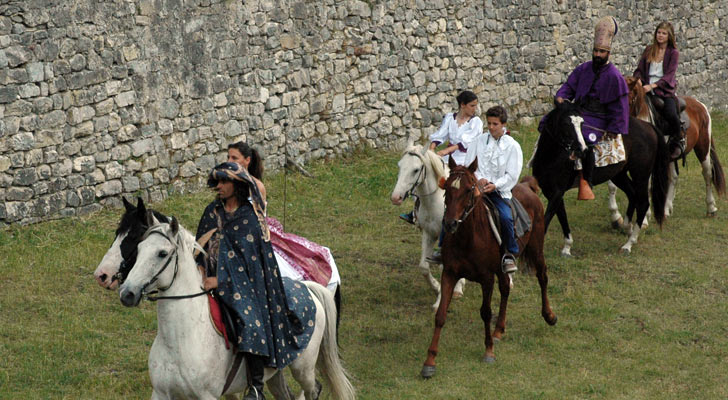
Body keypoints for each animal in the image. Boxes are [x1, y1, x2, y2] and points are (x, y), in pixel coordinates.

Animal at [117, 219, 356, 400]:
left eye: (162, 253)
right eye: (138, 250)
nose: (127, 293)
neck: (180, 338)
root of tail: (306, 287)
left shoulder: (207, 396)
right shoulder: (161, 394)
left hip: (303, 369)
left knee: (313, 389)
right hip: (276, 373)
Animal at [392, 144, 466, 310]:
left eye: (415, 170)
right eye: (400, 166)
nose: (396, 197)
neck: (435, 201)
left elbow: (444, 267)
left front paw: (440, 301)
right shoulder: (429, 233)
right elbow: (424, 267)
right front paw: (437, 287)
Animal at [418, 158, 556, 380]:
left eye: (468, 189)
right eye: (447, 188)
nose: (450, 223)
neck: (469, 238)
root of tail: (526, 186)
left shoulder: (486, 278)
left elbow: (485, 312)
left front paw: (488, 351)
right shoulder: (450, 273)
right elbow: (440, 315)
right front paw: (429, 362)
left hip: (536, 249)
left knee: (542, 277)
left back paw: (549, 316)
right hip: (503, 268)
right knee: (506, 289)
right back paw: (499, 330)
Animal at [532, 101, 668, 255]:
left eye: (582, 123)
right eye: (566, 123)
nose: (582, 149)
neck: (550, 156)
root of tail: (648, 126)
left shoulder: (557, 192)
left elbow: (546, 221)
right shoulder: (551, 193)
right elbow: (562, 217)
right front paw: (567, 247)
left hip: (641, 175)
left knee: (643, 203)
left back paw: (629, 244)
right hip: (618, 175)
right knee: (632, 195)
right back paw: (626, 227)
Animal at [624, 76, 724, 217]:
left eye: (628, 100)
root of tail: (700, 105)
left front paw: (646, 215)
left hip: (703, 148)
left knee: (707, 173)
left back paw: (711, 207)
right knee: (674, 178)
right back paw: (667, 208)